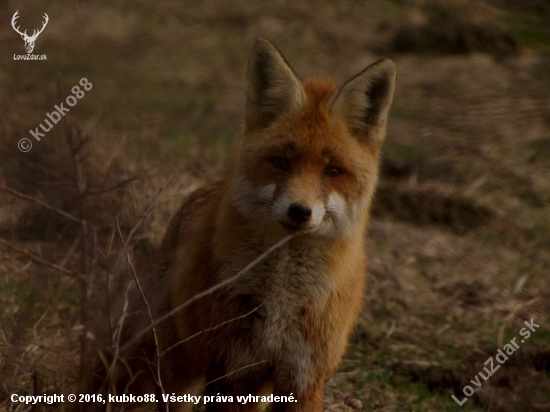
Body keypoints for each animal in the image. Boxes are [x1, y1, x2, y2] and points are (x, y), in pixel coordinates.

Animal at [91, 37, 396, 408]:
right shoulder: (234, 369)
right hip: (171, 364)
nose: (300, 211)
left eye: (333, 171)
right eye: (280, 162)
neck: (281, 300)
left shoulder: (304, 378)